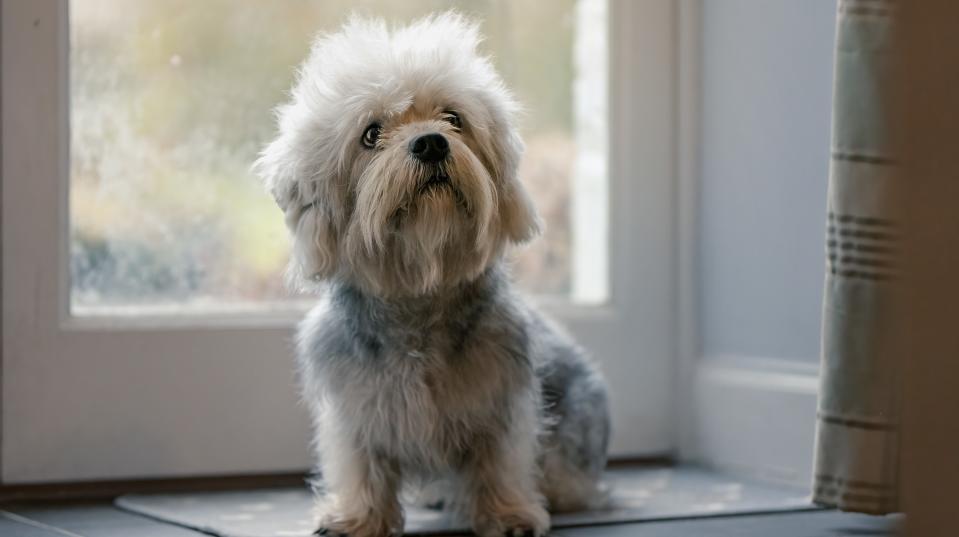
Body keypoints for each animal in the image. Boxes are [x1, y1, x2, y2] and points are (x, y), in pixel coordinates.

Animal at [255, 12, 612, 536]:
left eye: (453, 118)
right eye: (370, 133)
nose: (431, 143)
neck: (420, 294)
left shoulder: (502, 402)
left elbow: (501, 460)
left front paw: (508, 514)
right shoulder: (355, 407)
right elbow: (361, 463)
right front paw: (357, 517)